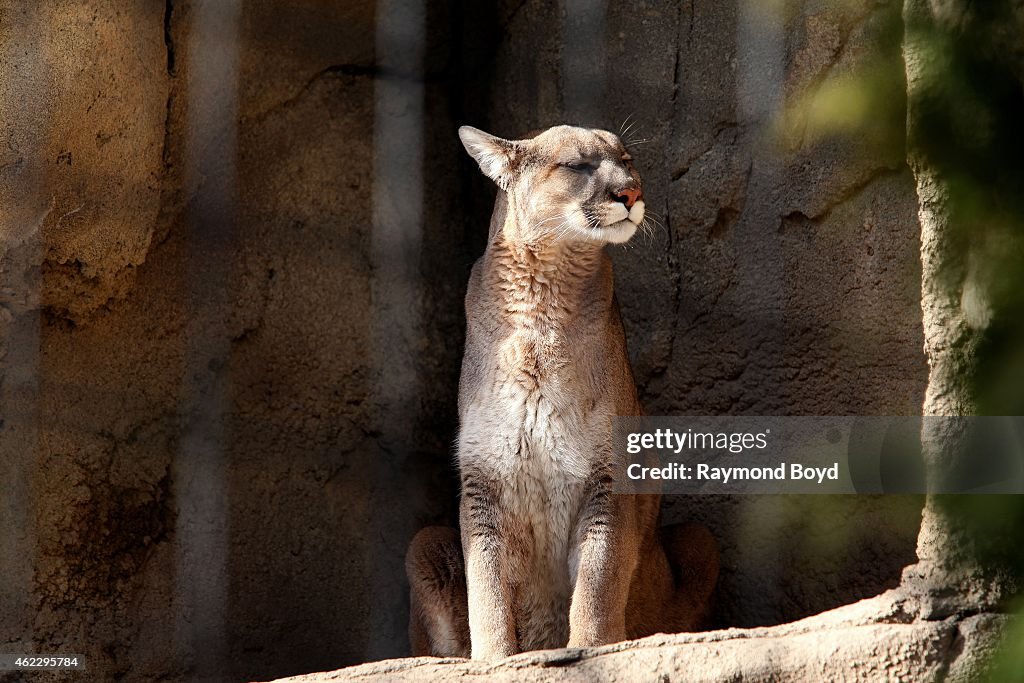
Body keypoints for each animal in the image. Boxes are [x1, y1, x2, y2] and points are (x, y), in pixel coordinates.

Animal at [403, 125, 716, 659]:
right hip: (424, 541)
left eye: (627, 161)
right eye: (577, 165)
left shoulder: (608, 473)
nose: (631, 193)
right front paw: (494, 658)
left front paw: (589, 648)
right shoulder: (483, 475)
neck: (541, 298)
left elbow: (598, 574)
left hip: (700, 539)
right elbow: (485, 578)